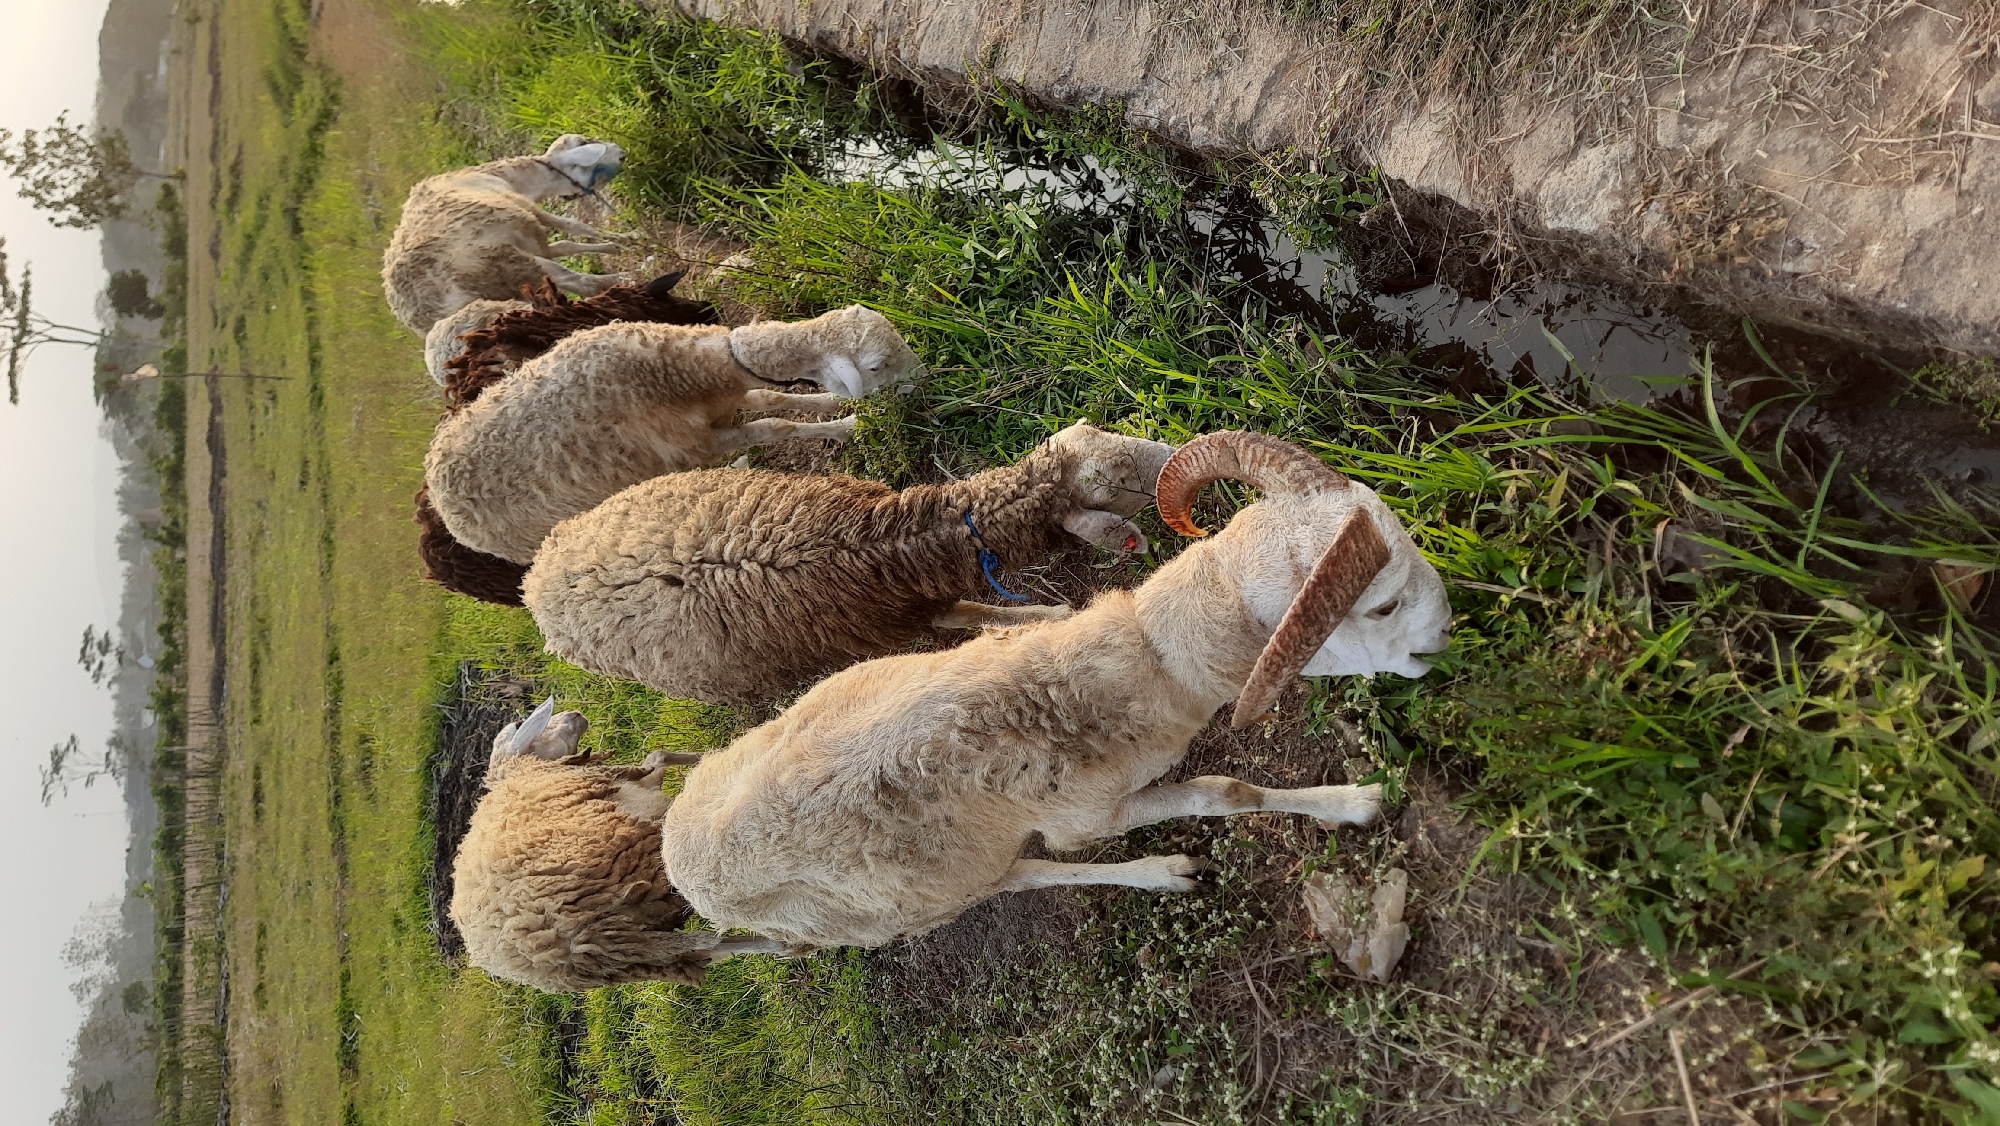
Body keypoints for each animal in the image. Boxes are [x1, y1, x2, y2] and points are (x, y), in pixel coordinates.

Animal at [382, 134, 631, 336]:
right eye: (584, 142)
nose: (622, 153)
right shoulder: (524, 207)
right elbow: (577, 227)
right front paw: (628, 238)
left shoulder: (530, 237)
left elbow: (564, 244)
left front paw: (612, 246)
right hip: (509, 265)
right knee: (582, 283)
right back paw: (624, 279)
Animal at [424, 303, 923, 565]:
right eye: (876, 366)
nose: (924, 382)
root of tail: (440, 499)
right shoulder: (695, 445)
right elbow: (773, 425)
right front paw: (848, 427)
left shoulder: (724, 402)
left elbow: (773, 400)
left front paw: (832, 409)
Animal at [449, 698, 782, 992]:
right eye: (529, 728)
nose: (574, 714)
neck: (528, 773)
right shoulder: (645, 806)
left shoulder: (640, 789)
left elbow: (657, 756)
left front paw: (704, 757)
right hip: (619, 931)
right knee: (710, 941)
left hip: (636, 955)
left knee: (712, 949)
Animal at [521, 421, 1176, 706]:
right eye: (1121, 485)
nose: (1181, 447)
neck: (866, 544)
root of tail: (534, 581)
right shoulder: (885, 619)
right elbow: (962, 617)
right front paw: (1050, 618)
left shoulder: (909, 593)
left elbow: (961, 610)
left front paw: (1038, 616)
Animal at [654, 430, 1453, 952]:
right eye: (1381, 606)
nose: (1445, 634)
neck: (1138, 660)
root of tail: (677, 855)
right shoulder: (1088, 814)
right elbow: (1221, 792)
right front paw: (1350, 804)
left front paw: (1347, 800)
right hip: (921, 898)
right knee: (1020, 876)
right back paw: (1163, 872)